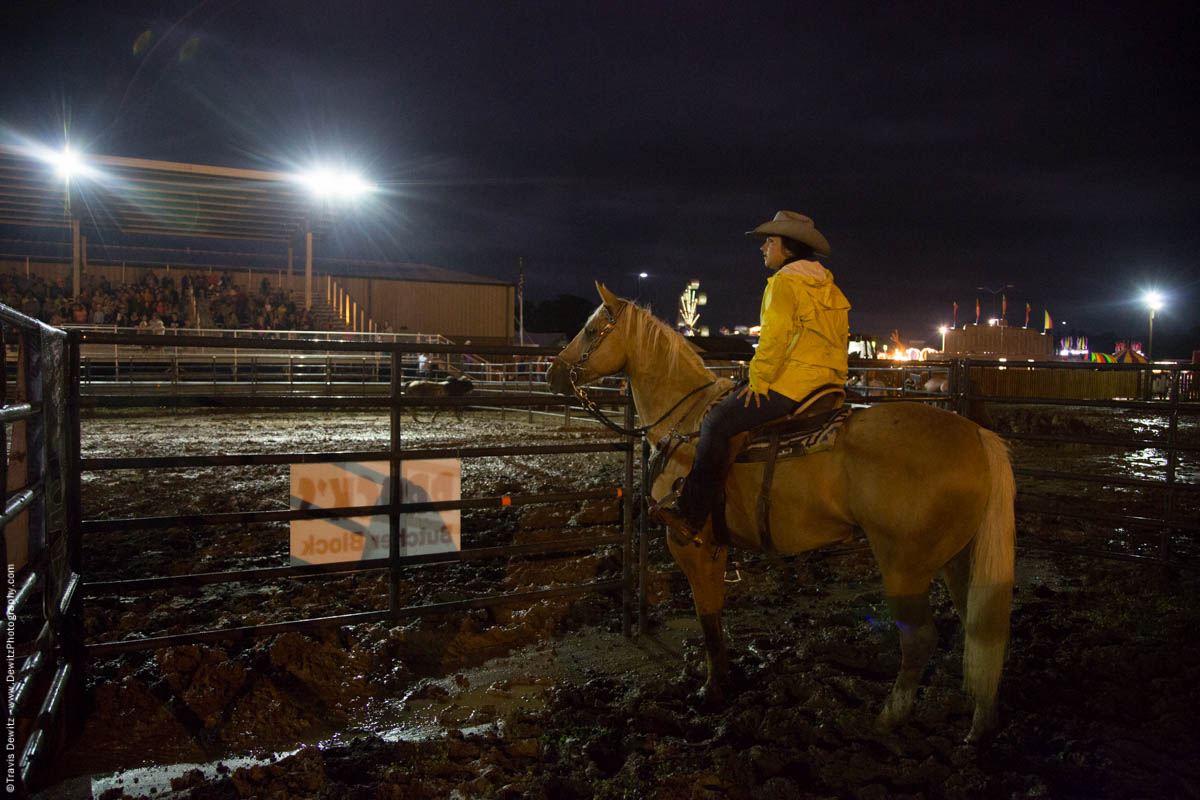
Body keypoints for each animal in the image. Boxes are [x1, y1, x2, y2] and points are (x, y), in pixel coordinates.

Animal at [549, 283, 1017, 743]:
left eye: (591, 331)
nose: (554, 373)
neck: (684, 424)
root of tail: (977, 435)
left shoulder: (689, 542)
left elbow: (707, 616)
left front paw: (712, 690)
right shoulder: (715, 547)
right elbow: (714, 614)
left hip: (905, 566)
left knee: (919, 639)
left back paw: (889, 718)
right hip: (958, 560)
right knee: (981, 627)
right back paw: (982, 722)